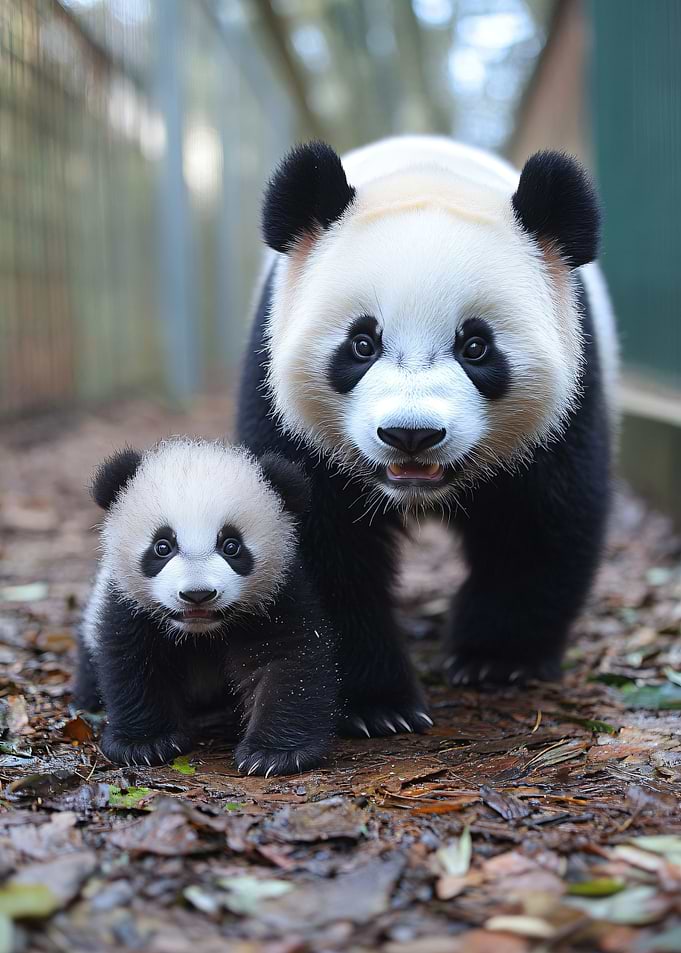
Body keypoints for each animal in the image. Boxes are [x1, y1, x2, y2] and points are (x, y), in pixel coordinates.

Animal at [75, 437, 339, 776]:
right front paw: (144, 744)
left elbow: (287, 663)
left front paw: (274, 755)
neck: (201, 632)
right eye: (162, 546)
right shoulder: (129, 605)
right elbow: (132, 661)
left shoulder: (277, 598)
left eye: (232, 546)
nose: (197, 594)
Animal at [237, 135, 618, 739]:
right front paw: (375, 704)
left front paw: (495, 659)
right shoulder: (279, 399)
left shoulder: (571, 395)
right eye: (362, 343)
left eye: (476, 346)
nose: (410, 434)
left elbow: (541, 519)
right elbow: (316, 541)